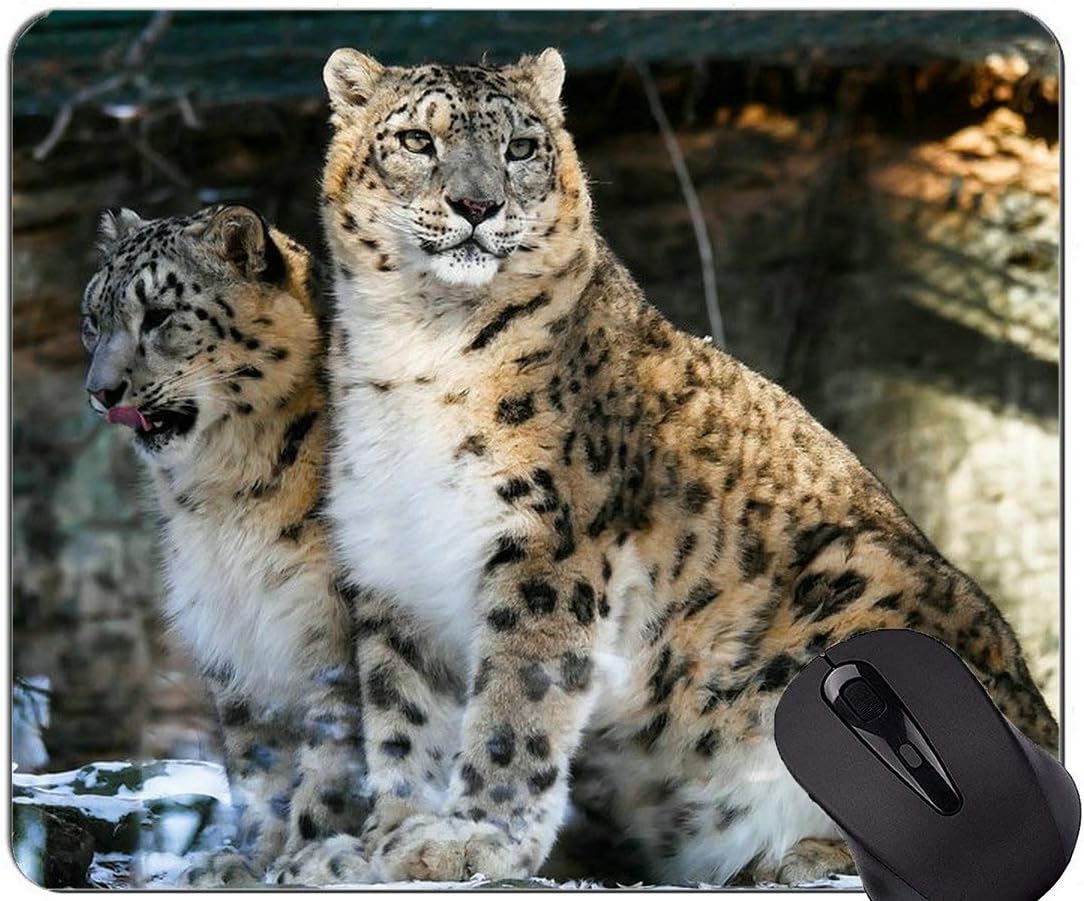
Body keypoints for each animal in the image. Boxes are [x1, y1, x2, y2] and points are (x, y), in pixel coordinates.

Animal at [80, 205, 371, 885]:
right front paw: (246, 859)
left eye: (159, 315)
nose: (101, 392)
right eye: (92, 319)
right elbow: (255, 757)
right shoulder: (229, 631)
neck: (224, 498)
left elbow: (336, 753)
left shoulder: (333, 625)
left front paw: (309, 857)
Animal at [278, 48, 1058, 887]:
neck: (417, 350)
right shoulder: (394, 565)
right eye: (418, 140)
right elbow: (403, 718)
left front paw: (473, 836)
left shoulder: (546, 548)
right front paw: (383, 838)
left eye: (520, 148)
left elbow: (516, 704)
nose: (477, 203)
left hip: (859, 588)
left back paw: (798, 855)